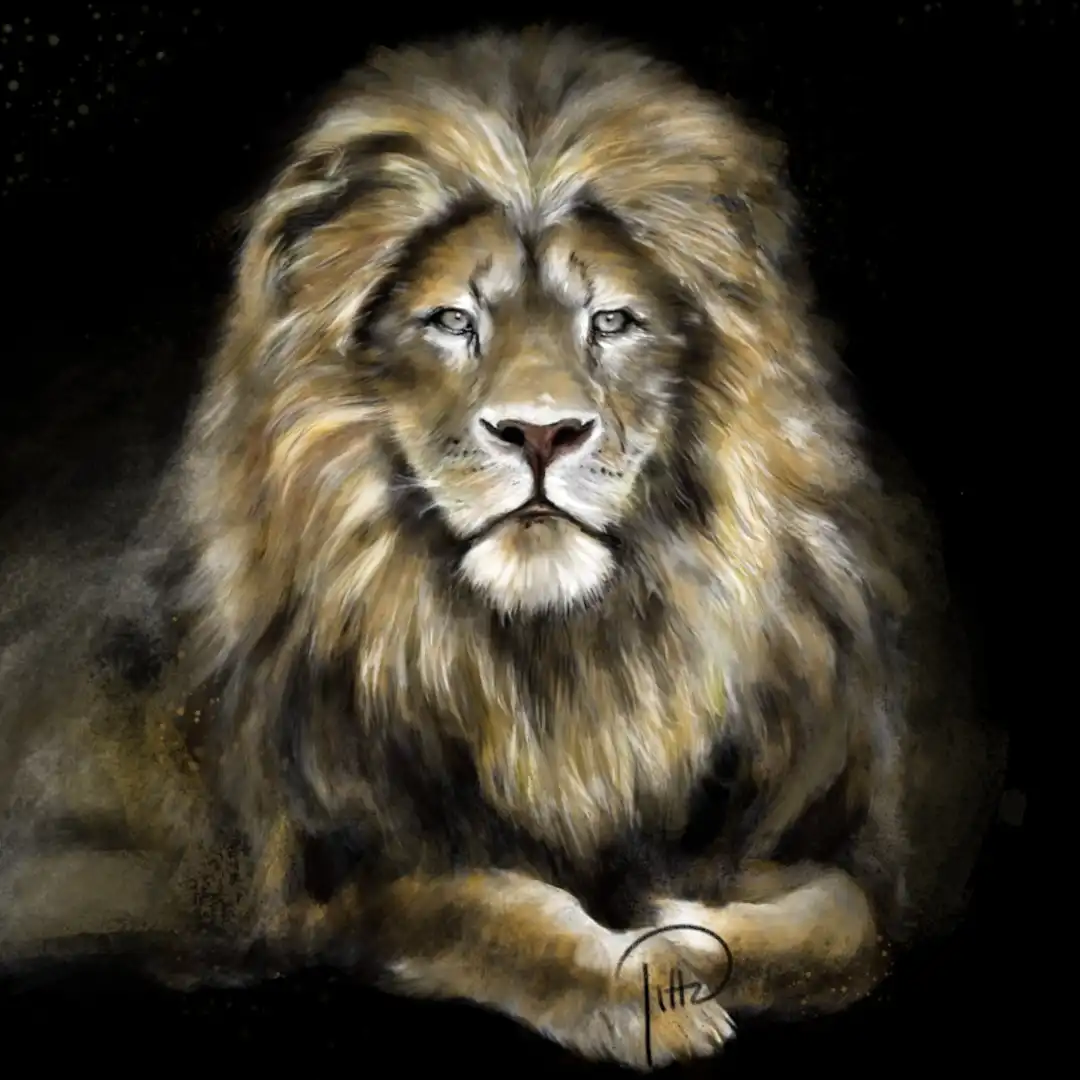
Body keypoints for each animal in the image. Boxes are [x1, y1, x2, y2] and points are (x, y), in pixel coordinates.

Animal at [0, 25, 1005, 1070]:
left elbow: (848, 925)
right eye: (453, 320)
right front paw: (647, 990)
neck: (555, 659)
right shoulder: (340, 882)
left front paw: (680, 931)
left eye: (611, 321)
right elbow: (506, 912)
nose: (540, 432)